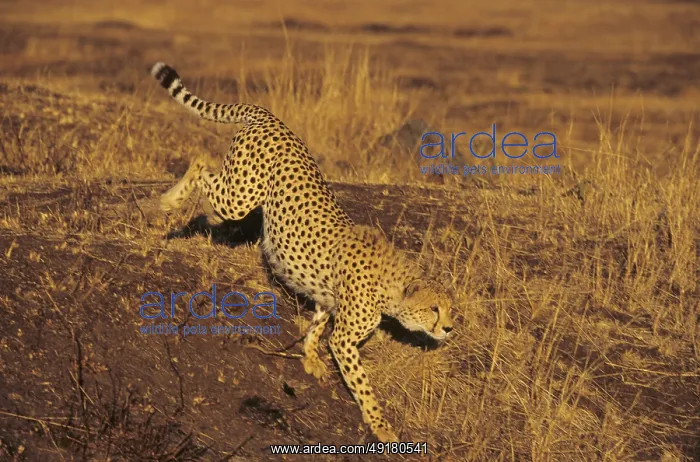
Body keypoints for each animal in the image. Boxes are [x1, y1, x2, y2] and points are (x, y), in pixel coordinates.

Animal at [150, 62, 455, 443]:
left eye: (450, 309)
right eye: (434, 309)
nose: (449, 329)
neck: (391, 288)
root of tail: (272, 118)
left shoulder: (327, 300)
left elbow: (316, 325)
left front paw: (309, 359)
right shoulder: (345, 340)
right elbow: (363, 384)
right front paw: (381, 426)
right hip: (239, 197)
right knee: (200, 163)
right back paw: (169, 201)